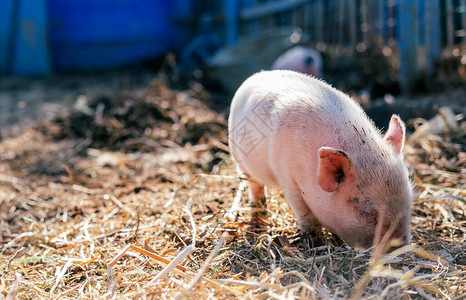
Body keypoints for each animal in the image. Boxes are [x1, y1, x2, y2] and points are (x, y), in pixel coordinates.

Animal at [228, 70, 414, 251]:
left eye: (409, 201)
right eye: (367, 214)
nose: (401, 247)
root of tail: (255, 76)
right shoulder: (289, 180)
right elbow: (306, 216)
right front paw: (316, 245)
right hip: (239, 159)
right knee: (254, 185)